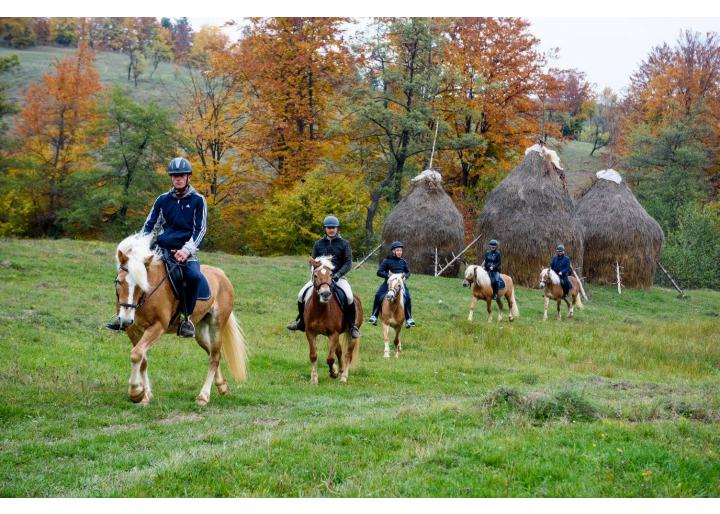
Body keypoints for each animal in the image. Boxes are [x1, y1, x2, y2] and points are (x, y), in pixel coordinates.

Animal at [111, 232, 248, 404]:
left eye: (141, 284)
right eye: (118, 281)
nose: (126, 319)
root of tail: (221, 275)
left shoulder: (157, 327)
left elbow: (136, 355)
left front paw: (136, 392)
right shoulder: (133, 329)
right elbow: (142, 359)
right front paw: (146, 395)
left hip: (217, 325)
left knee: (215, 357)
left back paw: (203, 396)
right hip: (200, 331)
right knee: (211, 353)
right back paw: (222, 387)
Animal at [304, 256, 362, 384]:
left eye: (331, 275)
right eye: (315, 275)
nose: (325, 293)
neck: (320, 310)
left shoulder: (333, 334)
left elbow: (330, 358)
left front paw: (333, 372)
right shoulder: (310, 333)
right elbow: (313, 355)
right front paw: (314, 378)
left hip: (352, 334)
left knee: (348, 354)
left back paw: (344, 376)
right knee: (339, 351)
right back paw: (341, 370)